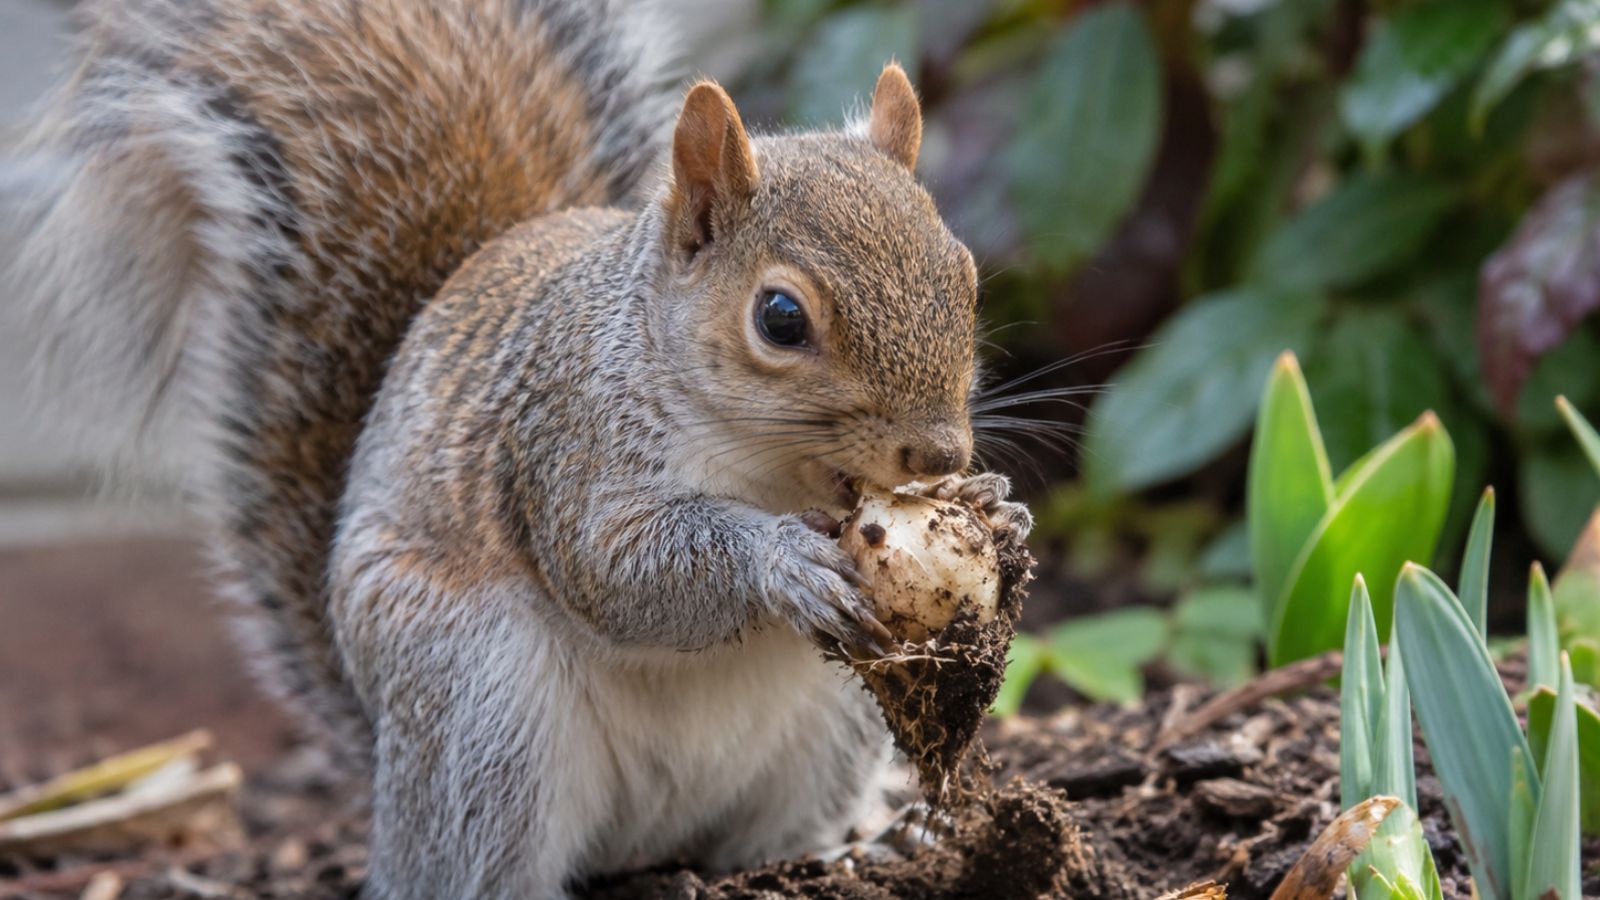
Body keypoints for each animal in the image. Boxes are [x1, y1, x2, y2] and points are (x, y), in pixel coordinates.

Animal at [2, 0, 1034, 896]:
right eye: (781, 318)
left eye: (966, 275)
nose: (939, 457)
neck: (777, 468)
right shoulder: (565, 441)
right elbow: (615, 568)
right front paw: (779, 560)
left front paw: (1001, 508)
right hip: (479, 701)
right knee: (476, 859)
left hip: (831, 724)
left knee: (758, 837)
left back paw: (839, 851)